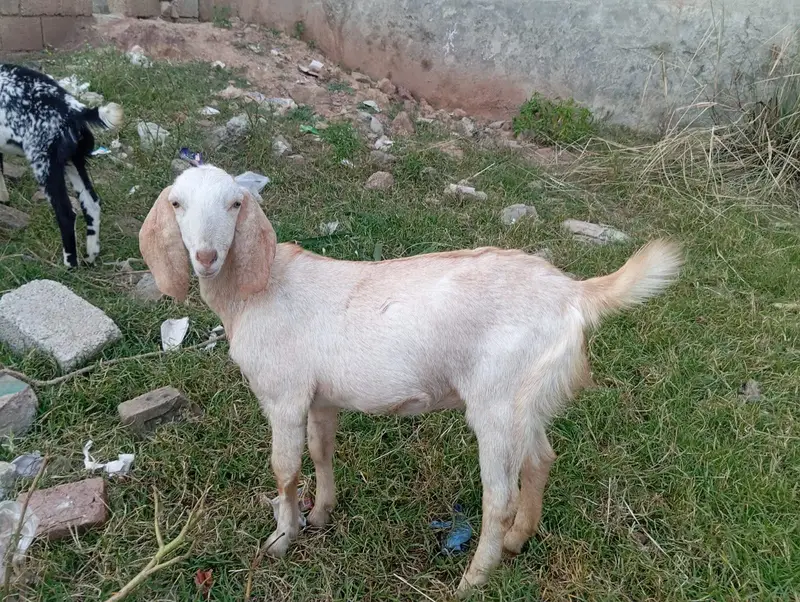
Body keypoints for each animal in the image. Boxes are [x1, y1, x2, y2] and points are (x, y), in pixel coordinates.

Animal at [0, 63, 123, 267]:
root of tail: (73, 109)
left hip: (45, 164)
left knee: (66, 214)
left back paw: (70, 264)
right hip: (73, 162)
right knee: (92, 203)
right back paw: (90, 255)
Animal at [139, 165, 682, 597]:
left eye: (234, 203)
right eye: (177, 203)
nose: (206, 257)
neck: (259, 289)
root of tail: (575, 293)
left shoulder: (284, 394)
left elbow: (285, 470)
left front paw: (281, 538)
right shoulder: (320, 398)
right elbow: (321, 451)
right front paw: (321, 515)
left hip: (495, 403)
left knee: (498, 498)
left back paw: (472, 580)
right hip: (525, 398)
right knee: (541, 459)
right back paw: (516, 541)